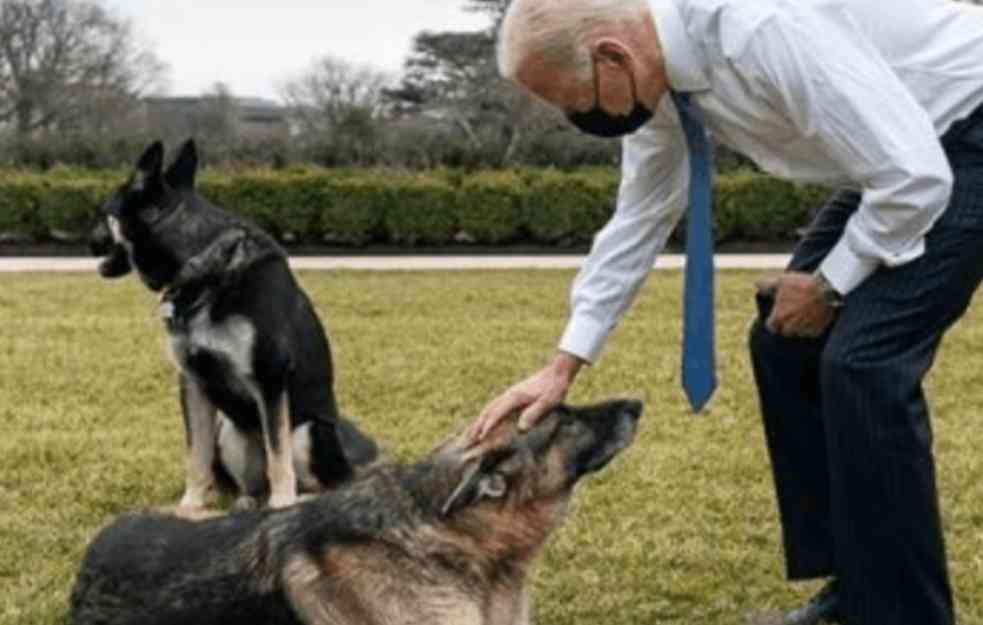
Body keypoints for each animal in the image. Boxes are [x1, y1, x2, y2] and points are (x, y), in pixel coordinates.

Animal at [91, 139, 376, 510]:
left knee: (316, 480)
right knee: (252, 483)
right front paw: (190, 506)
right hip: (229, 429)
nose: (88, 239)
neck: (201, 263)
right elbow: (197, 456)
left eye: (103, 211)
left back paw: (295, 499)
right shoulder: (193, 382)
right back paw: (248, 501)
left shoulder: (270, 379)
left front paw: (282, 505)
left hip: (308, 432)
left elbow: (278, 456)